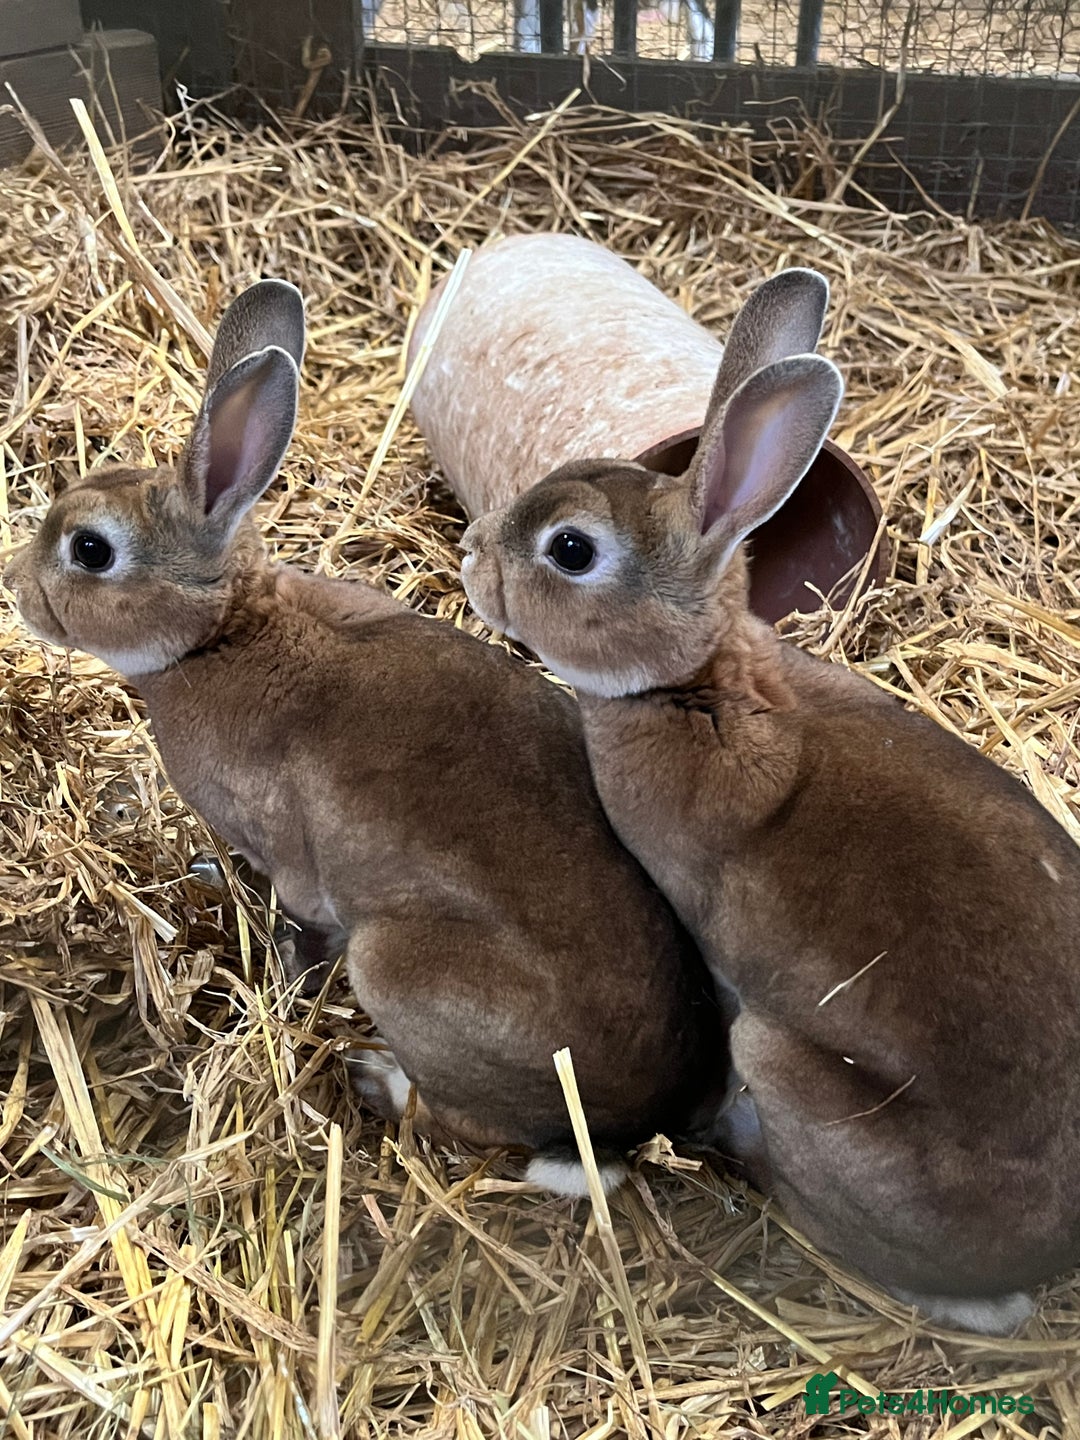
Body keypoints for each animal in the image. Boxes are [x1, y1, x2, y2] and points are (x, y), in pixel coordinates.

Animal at [4, 279, 732, 1195]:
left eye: (90, 549)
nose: (17, 587)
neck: (222, 633)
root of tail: (638, 1119)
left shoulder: (293, 862)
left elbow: (301, 923)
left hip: (400, 972)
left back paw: (377, 1078)